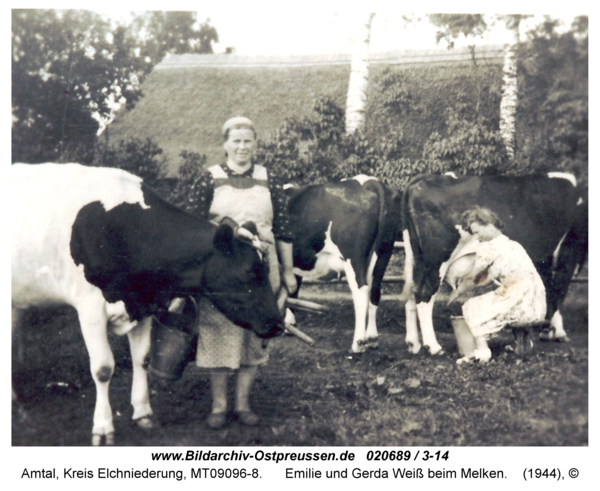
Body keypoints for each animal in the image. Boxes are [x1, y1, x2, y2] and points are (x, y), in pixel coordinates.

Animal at [11, 164, 284, 446]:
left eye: (266, 267)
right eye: (250, 271)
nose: (278, 324)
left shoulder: (140, 305)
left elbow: (141, 359)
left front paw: (143, 413)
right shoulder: (90, 308)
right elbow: (103, 368)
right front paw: (103, 427)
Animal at [288, 177, 404, 354]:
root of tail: (366, 182)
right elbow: (293, 287)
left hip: (353, 257)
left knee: (361, 292)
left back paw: (358, 343)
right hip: (383, 253)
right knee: (375, 291)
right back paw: (372, 339)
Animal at [400, 173, 588, 354]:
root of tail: (423, 178)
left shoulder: (544, 257)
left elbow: (549, 287)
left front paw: (546, 326)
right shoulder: (567, 251)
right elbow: (558, 290)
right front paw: (555, 331)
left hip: (414, 260)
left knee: (411, 294)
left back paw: (413, 344)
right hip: (436, 260)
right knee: (424, 295)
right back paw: (433, 346)